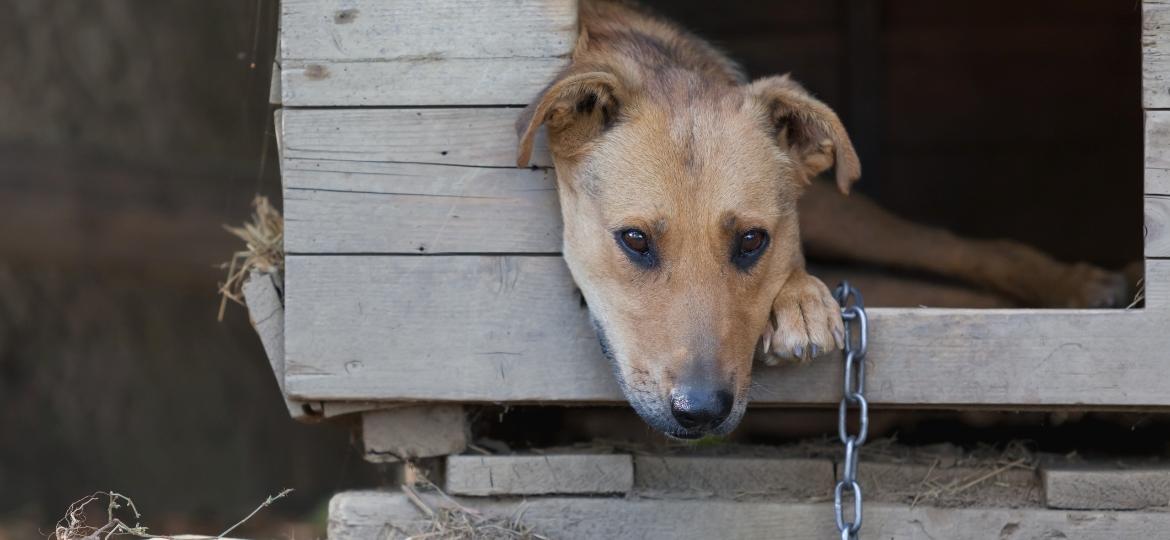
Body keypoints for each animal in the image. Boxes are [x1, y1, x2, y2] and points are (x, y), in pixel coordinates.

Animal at [514, 0, 1132, 439]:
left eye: (752, 240)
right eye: (635, 240)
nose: (702, 411)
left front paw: (800, 300)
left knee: (959, 250)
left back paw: (1083, 289)